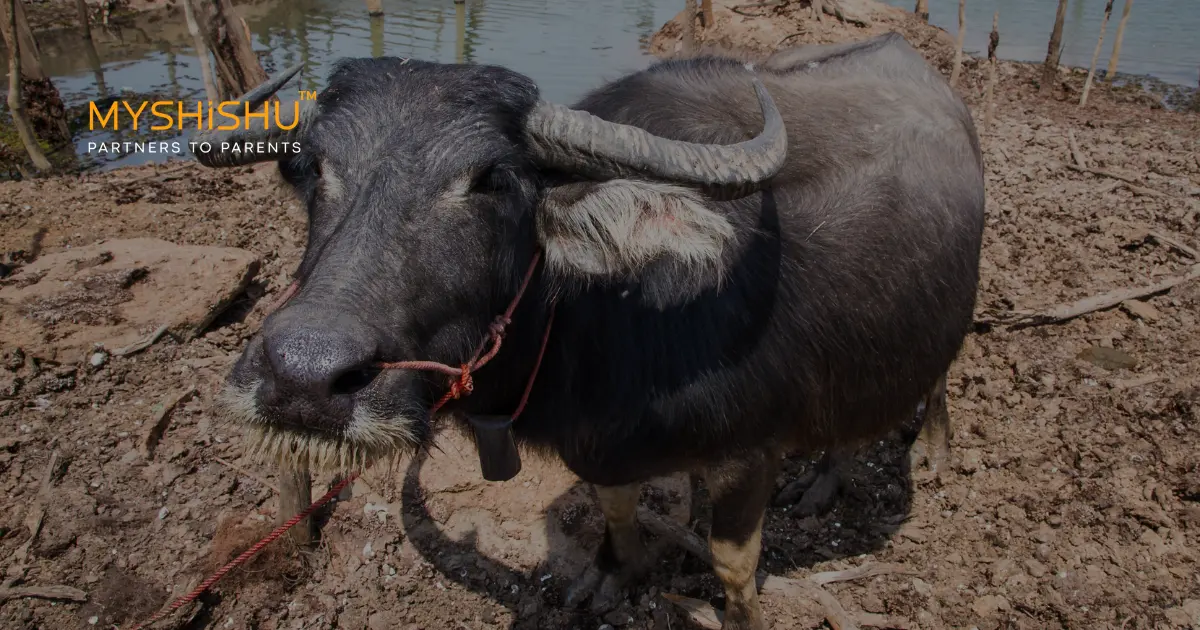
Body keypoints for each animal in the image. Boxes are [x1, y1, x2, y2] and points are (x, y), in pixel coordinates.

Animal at [197, 32, 984, 630]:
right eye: (309, 168)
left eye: (491, 180)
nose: (302, 376)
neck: (598, 321)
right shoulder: (606, 449)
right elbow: (614, 505)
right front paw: (615, 572)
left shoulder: (750, 452)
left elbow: (734, 563)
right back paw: (824, 480)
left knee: (939, 375)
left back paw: (934, 451)